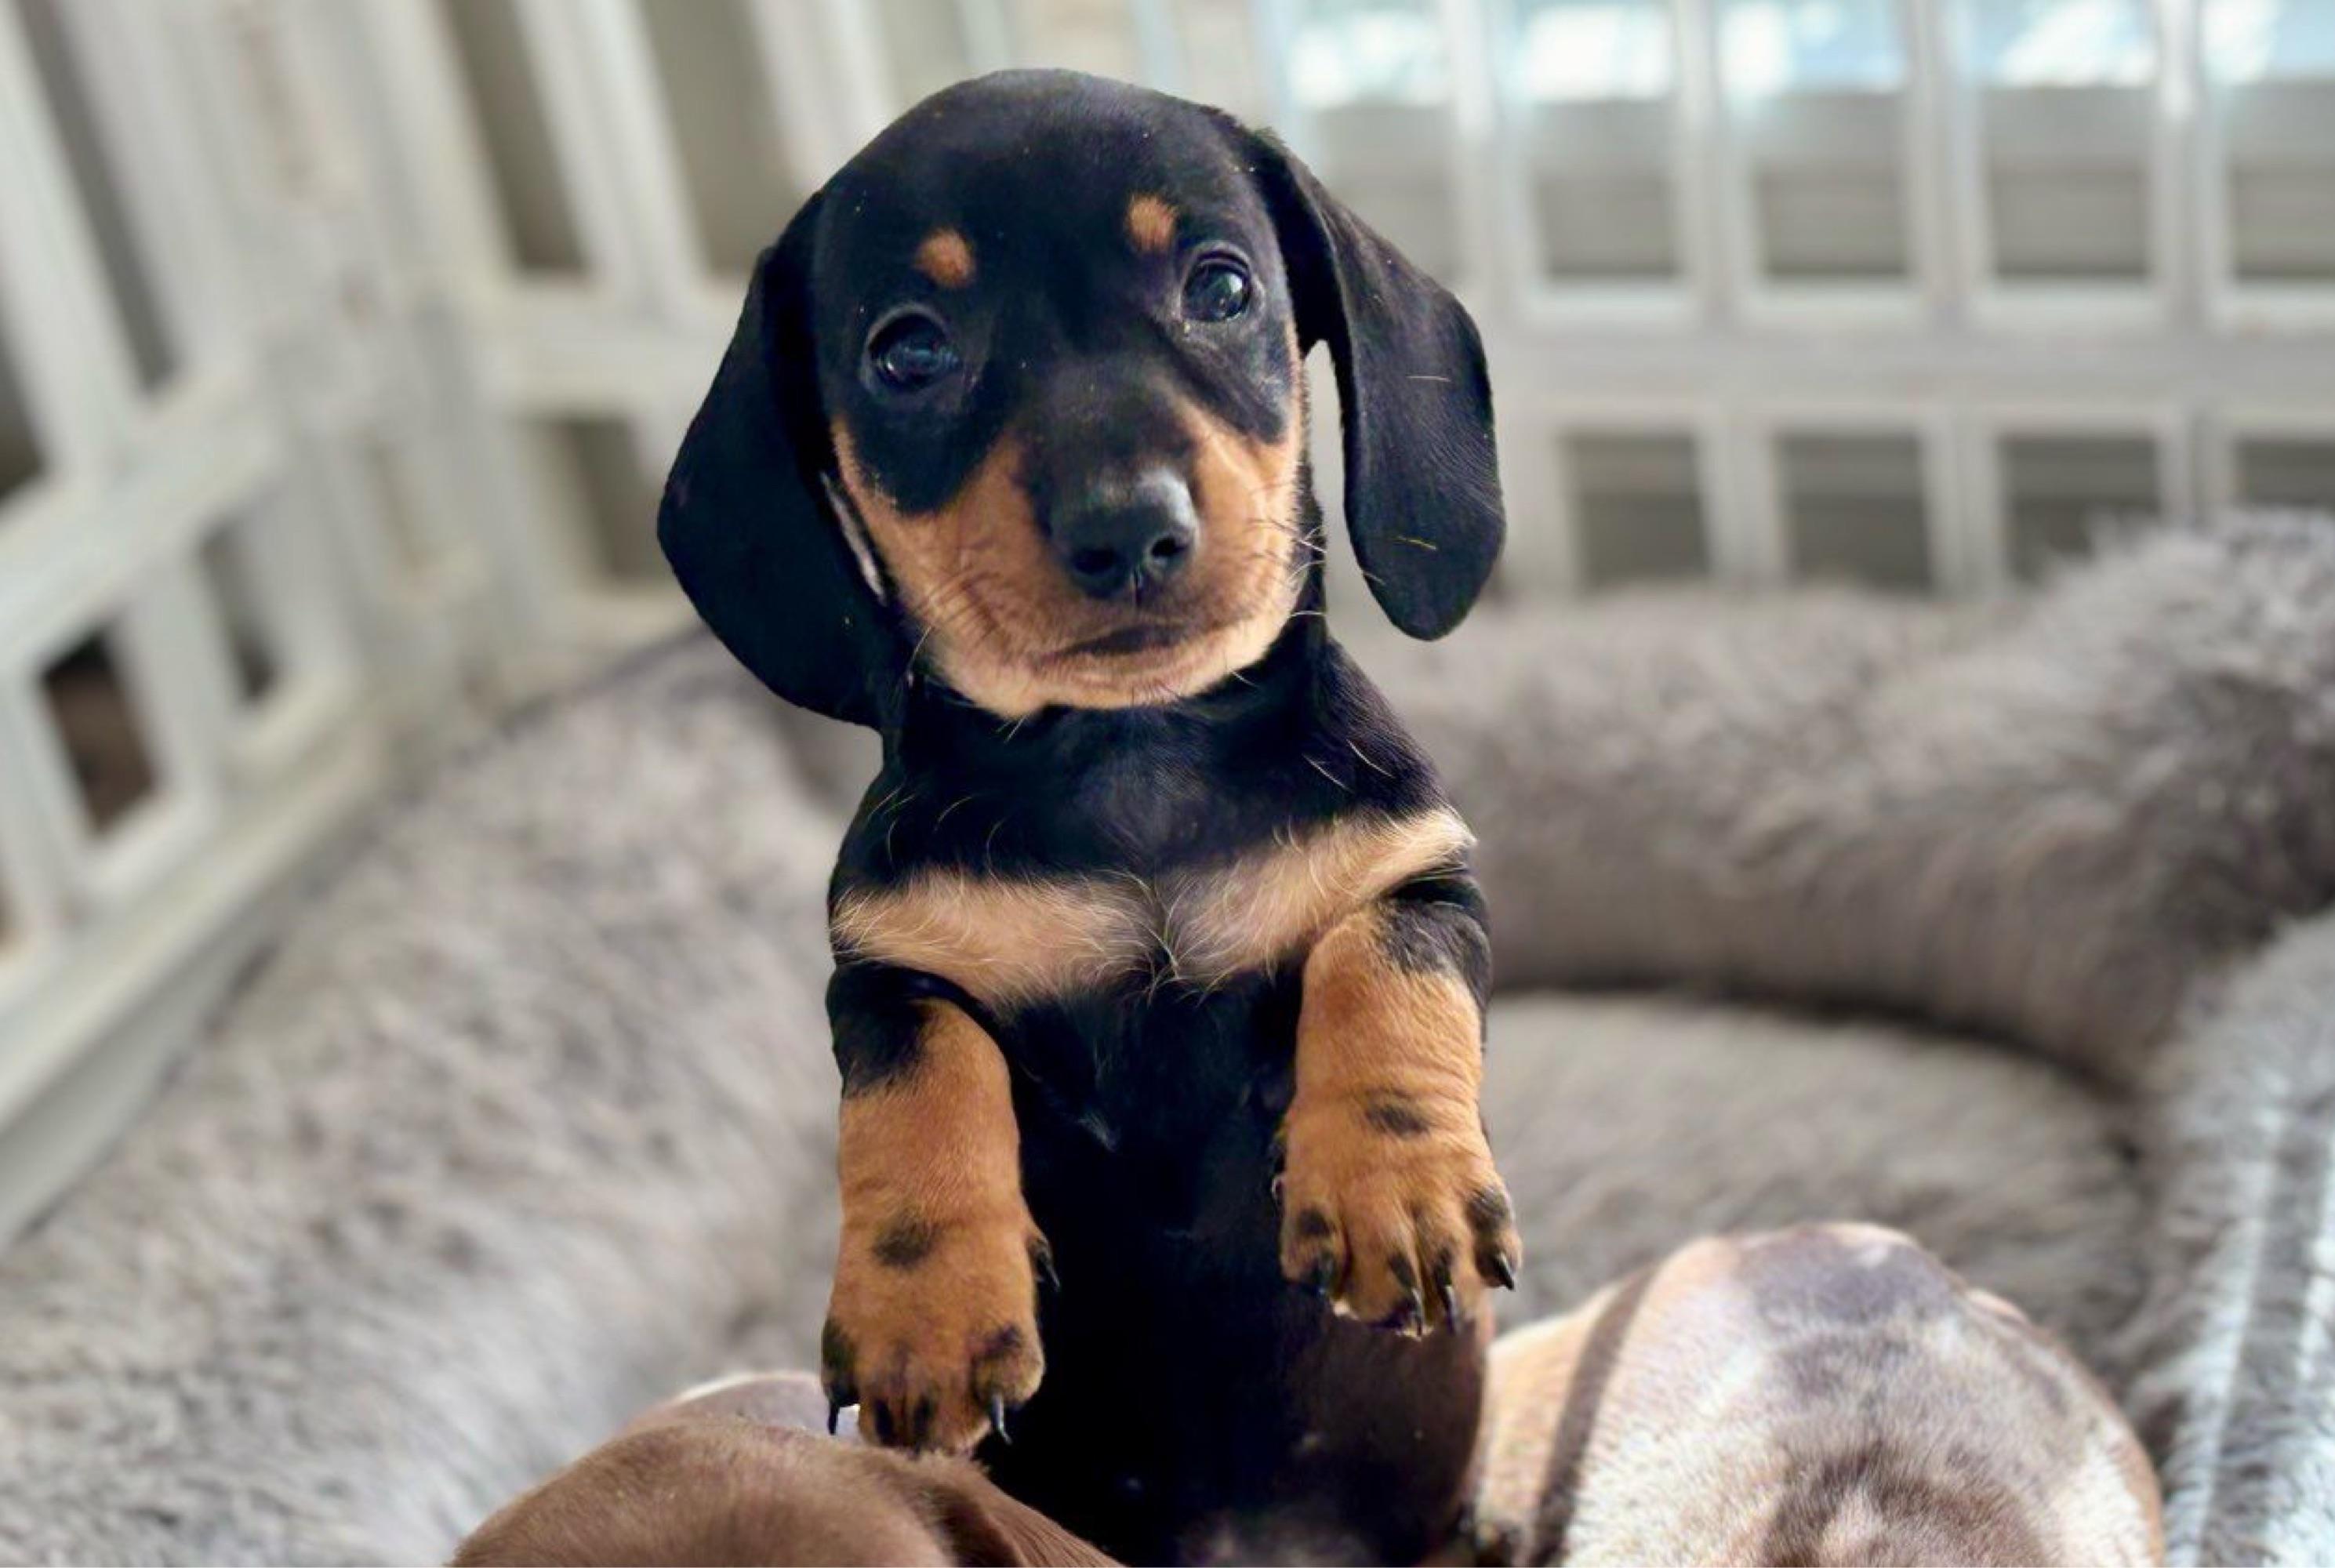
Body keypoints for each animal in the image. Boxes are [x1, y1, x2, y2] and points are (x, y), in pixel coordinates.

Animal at [658, 68, 1518, 1563]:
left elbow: (1378, 966)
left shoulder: (1419, 879)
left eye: (1220, 284)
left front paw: (1393, 1185)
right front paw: (924, 1309)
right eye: (906, 352)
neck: (1131, 758)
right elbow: (920, 1087)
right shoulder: (887, 972)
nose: (1127, 529)